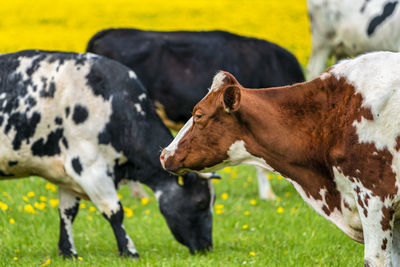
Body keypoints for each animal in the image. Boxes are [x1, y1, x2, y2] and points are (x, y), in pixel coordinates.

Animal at [0, 49, 216, 258]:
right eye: (201, 202)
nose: (207, 247)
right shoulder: (88, 167)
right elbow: (114, 211)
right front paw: (129, 251)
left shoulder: (65, 173)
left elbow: (67, 213)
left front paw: (68, 252)